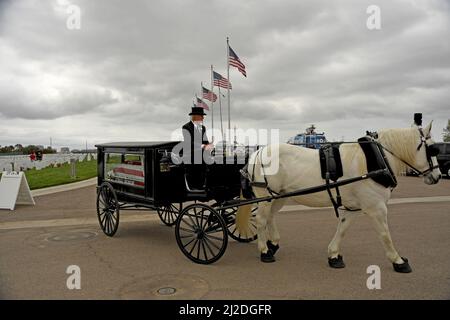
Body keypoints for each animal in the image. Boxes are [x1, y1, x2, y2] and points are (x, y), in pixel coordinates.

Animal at [237, 122, 442, 272]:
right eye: (432, 149)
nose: (438, 176)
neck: (375, 160)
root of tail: (257, 152)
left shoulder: (353, 207)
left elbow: (342, 229)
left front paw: (334, 255)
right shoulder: (376, 208)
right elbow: (385, 234)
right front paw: (398, 260)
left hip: (278, 196)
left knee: (270, 217)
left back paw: (273, 244)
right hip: (266, 196)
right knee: (261, 220)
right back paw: (265, 251)